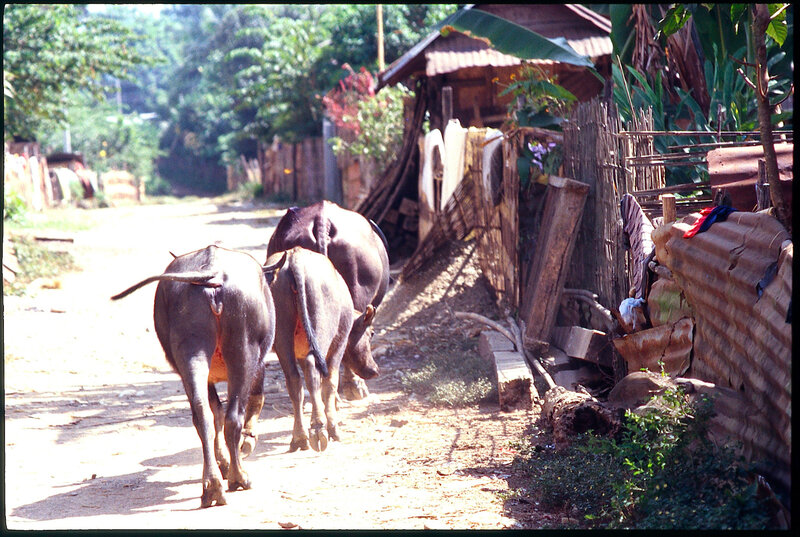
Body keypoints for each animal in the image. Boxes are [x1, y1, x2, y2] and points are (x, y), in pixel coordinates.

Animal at [111, 245, 282, 504]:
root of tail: (212, 272)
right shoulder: (259, 364)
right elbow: (255, 400)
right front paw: (247, 441)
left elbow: (215, 411)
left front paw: (223, 461)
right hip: (244, 351)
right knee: (233, 416)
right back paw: (238, 478)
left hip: (190, 353)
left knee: (202, 414)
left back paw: (212, 485)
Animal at [268, 247, 378, 452]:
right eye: (371, 333)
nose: (374, 369)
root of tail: (295, 256)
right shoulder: (338, 346)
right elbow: (330, 383)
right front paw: (332, 426)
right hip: (321, 330)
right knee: (314, 373)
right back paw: (319, 428)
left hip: (282, 338)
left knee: (294, 381)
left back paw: (299, 437)